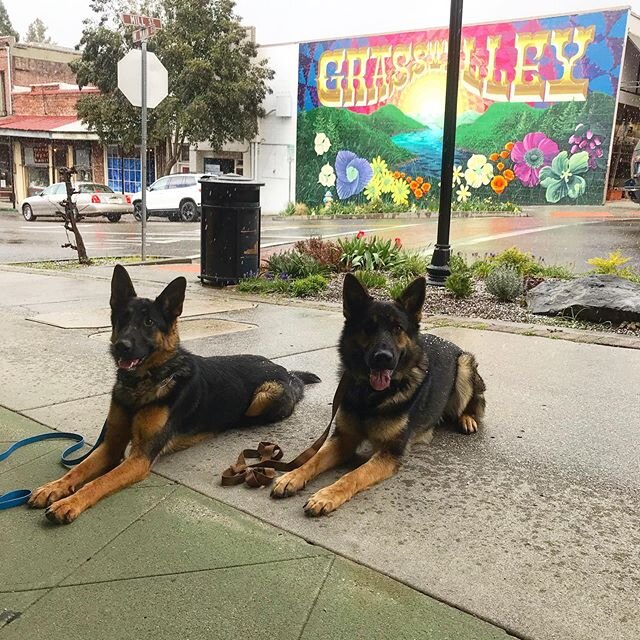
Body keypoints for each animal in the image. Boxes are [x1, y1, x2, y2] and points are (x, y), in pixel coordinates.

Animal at [30, 262, 320, 524]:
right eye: (123, 319)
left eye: (148, 322)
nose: (122, 346)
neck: (145, 384)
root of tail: (287, 371)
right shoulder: (111, 446)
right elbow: (79, 470)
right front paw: (53, 488)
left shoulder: (139, 458)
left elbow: (98, 482)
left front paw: (70, 503)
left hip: (263, 397)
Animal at [270, 274, 484, 516]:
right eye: (368, 327)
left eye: (397, 328)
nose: (383, 357)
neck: (371, 397)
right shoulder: (343, 438)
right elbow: (314, 459)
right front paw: (292, 477)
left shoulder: (389, 452)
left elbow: (354, 475)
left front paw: (326, 495)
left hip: (464, 365)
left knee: (473, 403)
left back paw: (467, 418)